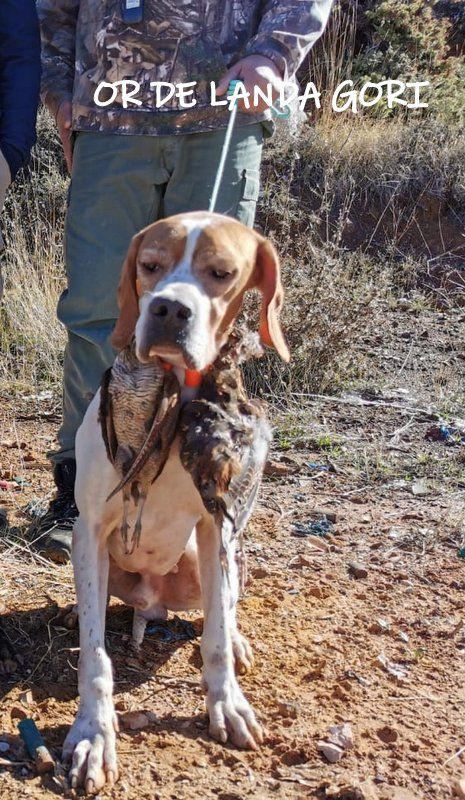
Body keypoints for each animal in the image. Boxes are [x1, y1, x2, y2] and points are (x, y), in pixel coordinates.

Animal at [63, 212, 288, 792]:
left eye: (222, 272)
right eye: (150, 265)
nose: (167, 308)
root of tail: (152, 602)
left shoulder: (215, 528)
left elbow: (215, 634)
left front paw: (227, 703)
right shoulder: (90, 529)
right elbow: (96, 655)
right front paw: (94, 734)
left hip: (214, 555)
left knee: (222, 608)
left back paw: (235, 639)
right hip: (102, 559)